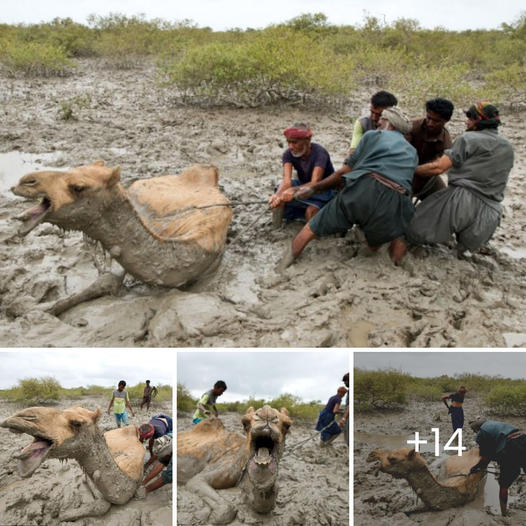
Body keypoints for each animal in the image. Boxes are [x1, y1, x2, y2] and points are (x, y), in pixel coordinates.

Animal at [1, 406, 145, 520]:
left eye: (77, 423)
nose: (18, 417)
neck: (128, 479)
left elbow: (102, 505)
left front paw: (62, 514)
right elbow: (100, 502)